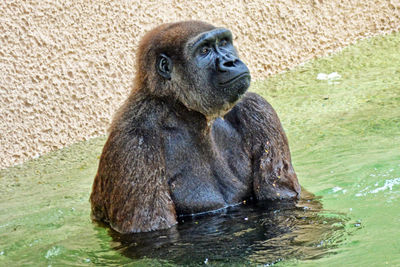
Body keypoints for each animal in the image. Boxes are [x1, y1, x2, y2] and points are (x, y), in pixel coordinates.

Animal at [89, 21, 298, 234]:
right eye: (204, 50)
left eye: (224, 43)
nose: (230, 61)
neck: (180, 110)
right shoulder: (134, 142)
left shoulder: (258, 109)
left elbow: (280, 198)